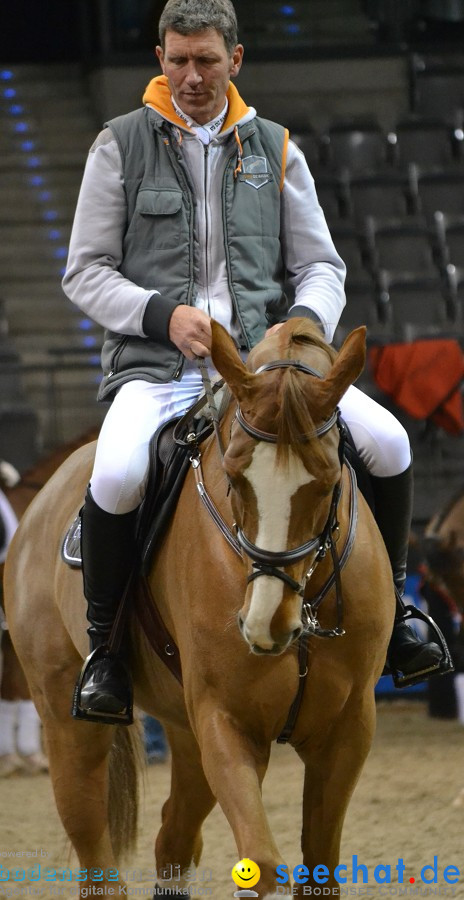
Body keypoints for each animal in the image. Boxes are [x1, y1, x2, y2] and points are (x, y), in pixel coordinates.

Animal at [3, 320, 396, 896]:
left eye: (327, 483)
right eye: (234, 479)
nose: (265, 624)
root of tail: (40, 500)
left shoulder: (348, 731)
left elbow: (319, 869)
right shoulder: (227, 723)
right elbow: (262, 863)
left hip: (184, 734)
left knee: (174, 838)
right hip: (67, 720)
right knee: (94, 851)